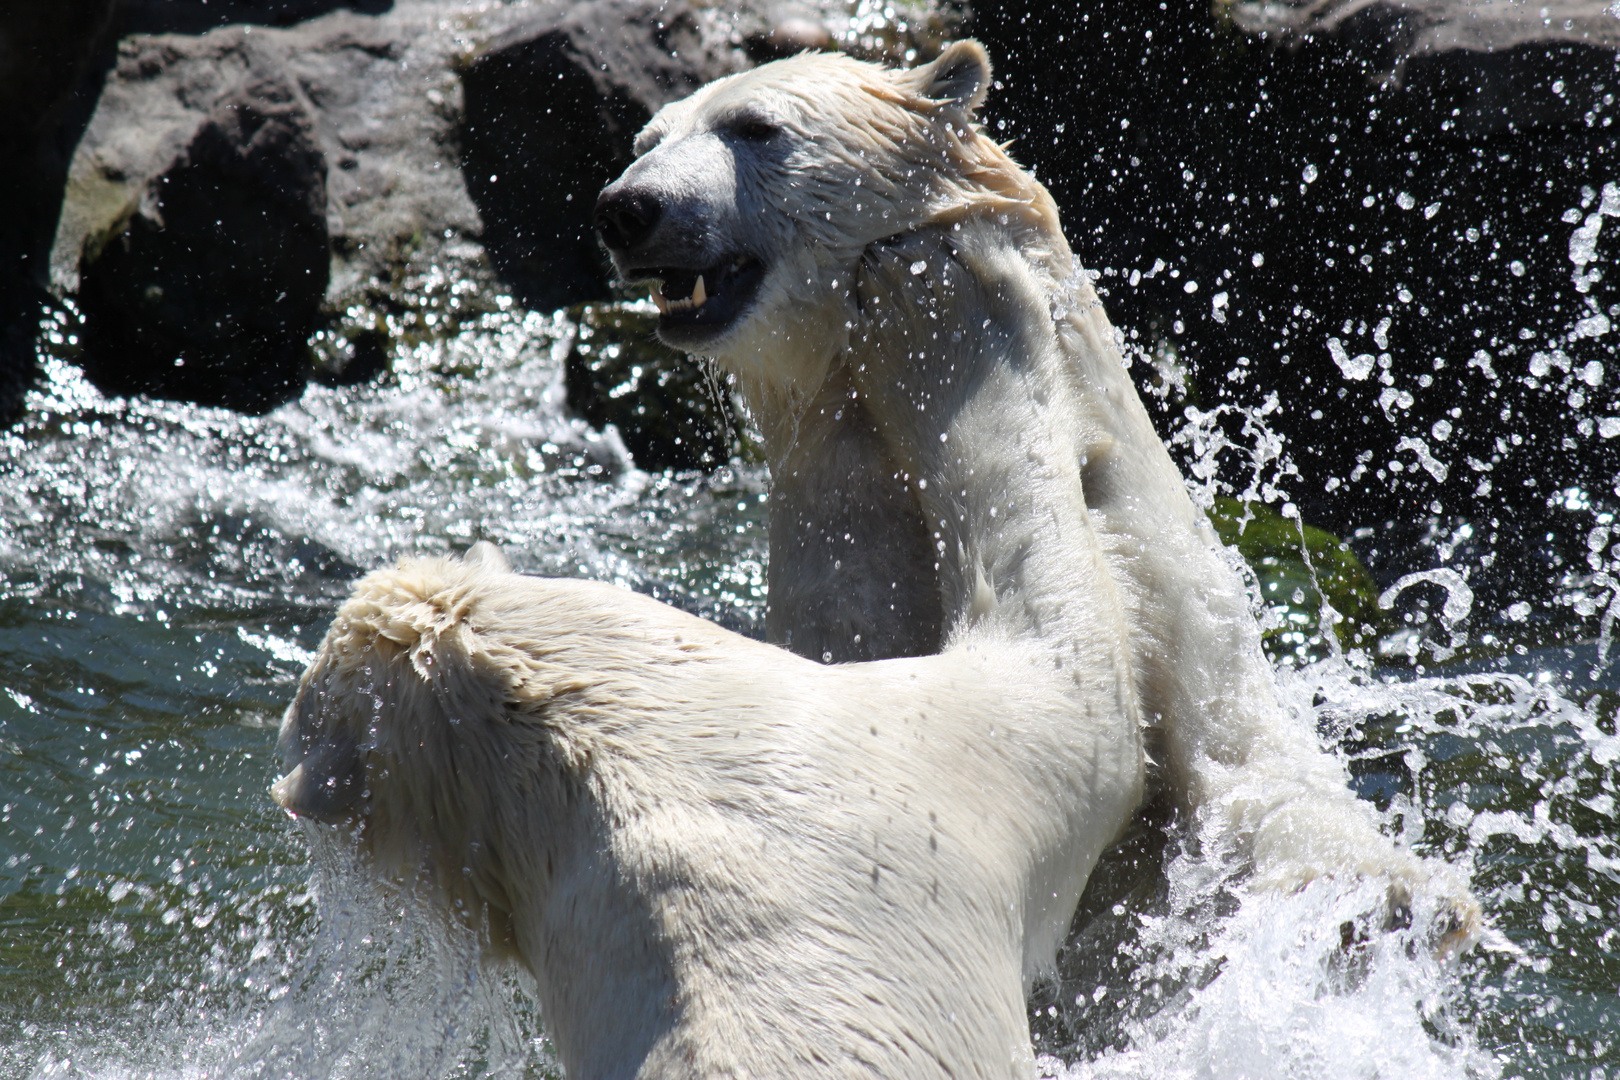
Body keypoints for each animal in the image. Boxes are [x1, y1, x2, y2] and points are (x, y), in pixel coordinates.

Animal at [596, 42, 1483, 919]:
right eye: (647, 140)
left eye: (756, 126)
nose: (628, 207)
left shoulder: (1180, 604)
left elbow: (1251, 775)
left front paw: (1387, 893)